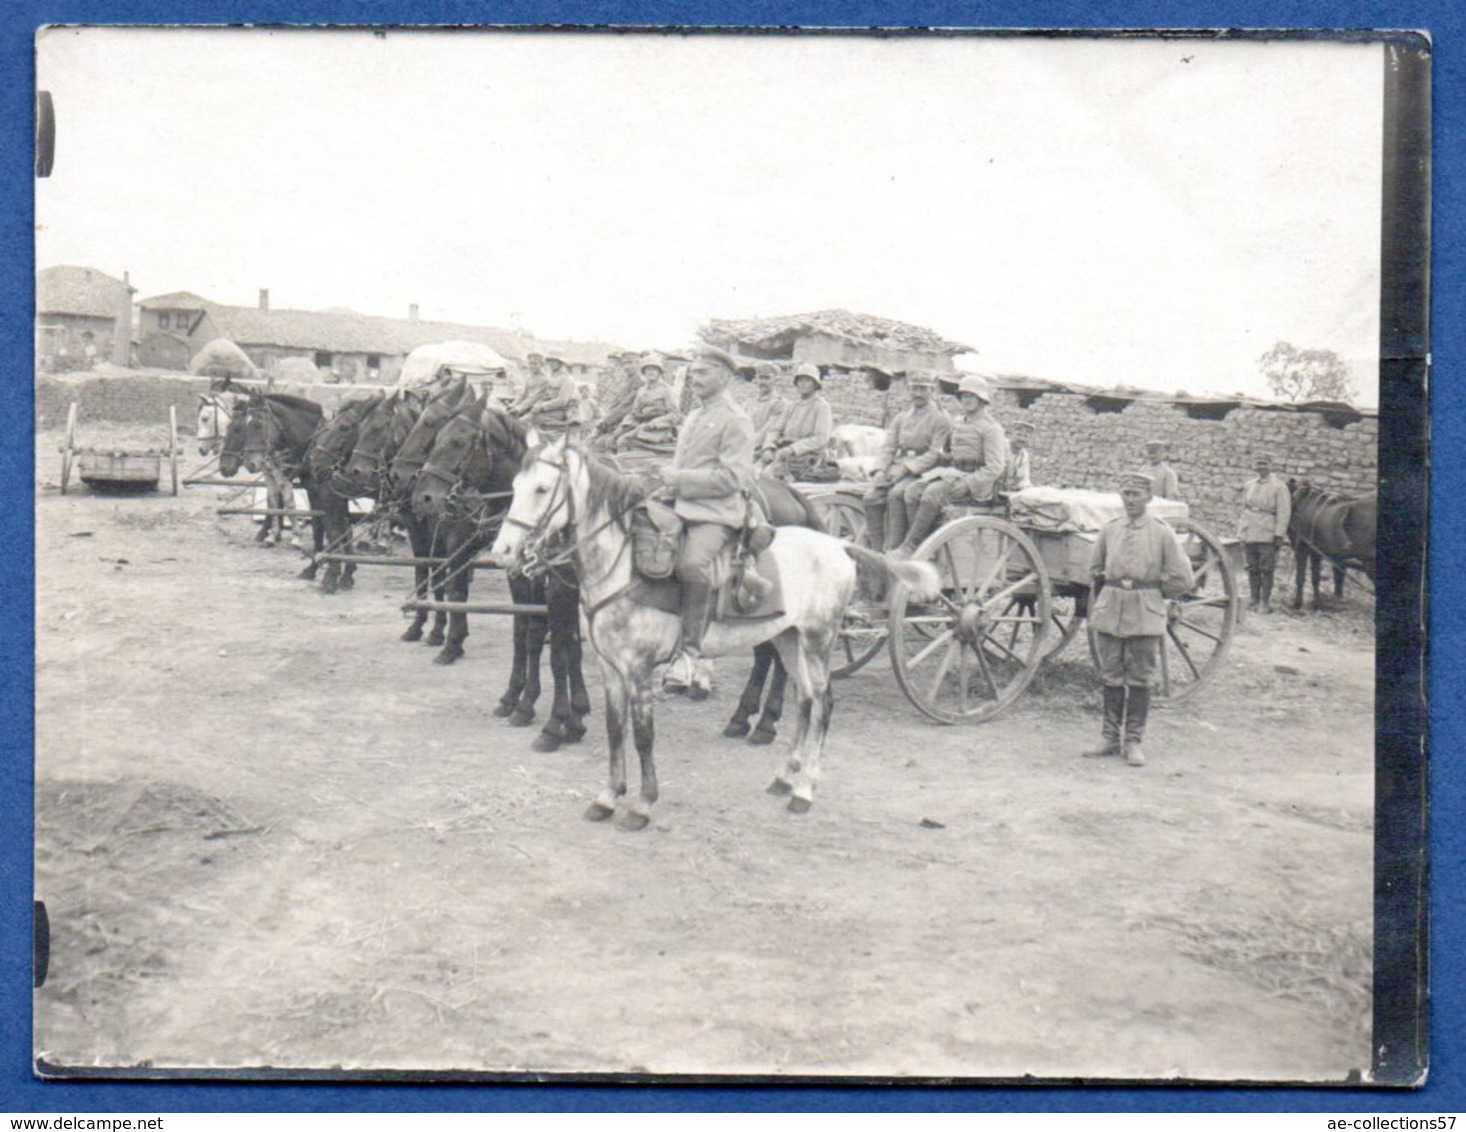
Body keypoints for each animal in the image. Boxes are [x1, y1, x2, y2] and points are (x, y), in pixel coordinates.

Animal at [486, 434, 932, 832]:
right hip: (788, 638)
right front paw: (608, 797)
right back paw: (784, 776)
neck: (622, 565)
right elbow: (615, 731)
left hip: (818, 640)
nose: (503, 551)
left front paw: (643, 805)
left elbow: (643, 735)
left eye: (543, 489)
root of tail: (838, 545)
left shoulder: (638, 669)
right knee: (804, 699)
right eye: (514, 487)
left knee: (824, 704)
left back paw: (805, 788)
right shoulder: (611, 669)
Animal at [1290, 480, 1378, 609]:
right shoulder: (1316, 551)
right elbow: (1316, 577)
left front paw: (1297, 603)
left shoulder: (1302, 547)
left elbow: (1300, 576)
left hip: (1369, 560)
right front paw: (1317, 603)